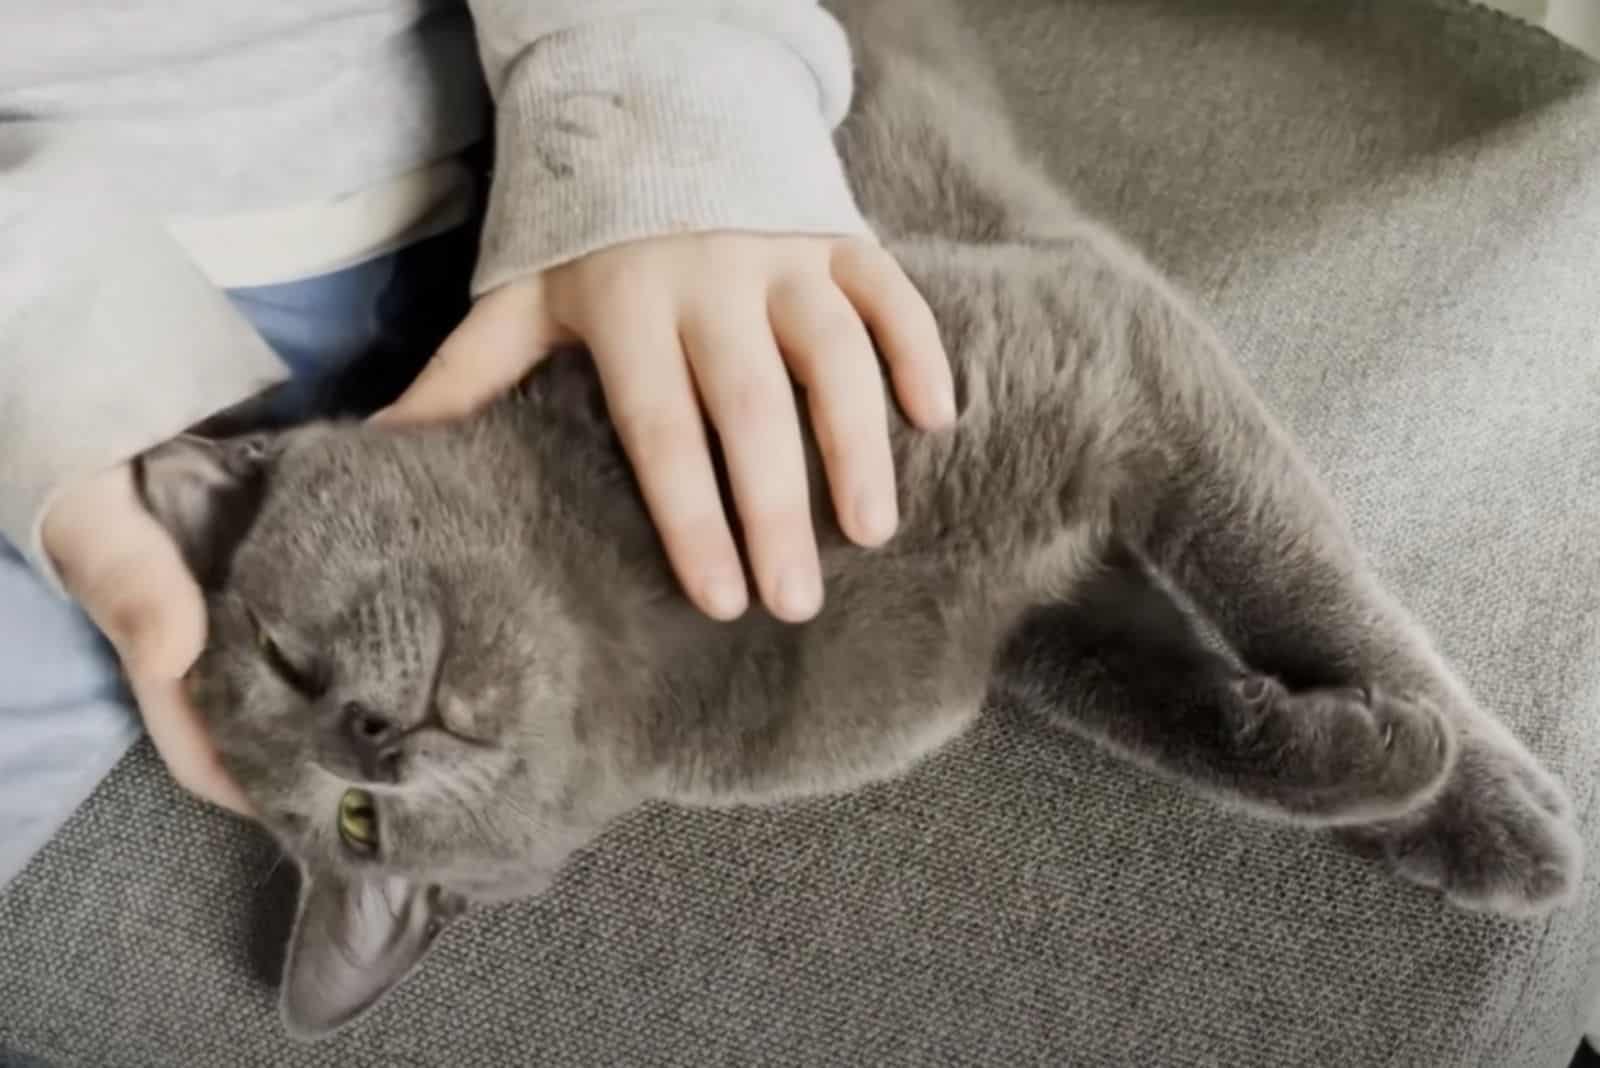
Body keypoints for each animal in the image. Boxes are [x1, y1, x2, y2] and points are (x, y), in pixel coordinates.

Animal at [134, 0, 1574, 1042]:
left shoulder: (1096, 338)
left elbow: (1293, 579)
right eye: (352, 827)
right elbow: (1175, 713)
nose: (366, 742)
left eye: (285, 657)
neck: (641, 626)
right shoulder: (1031, 619)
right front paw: (1400, 763)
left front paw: (1500, 811)